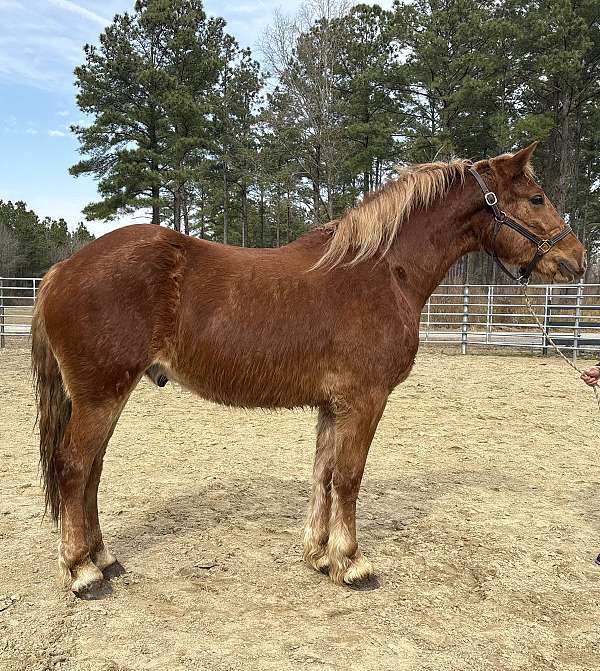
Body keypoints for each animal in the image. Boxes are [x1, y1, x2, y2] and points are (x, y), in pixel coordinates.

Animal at [31, 143, 585, 597]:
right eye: (536, 198)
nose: (577, 259)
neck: (381, 271)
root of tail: (61, 270)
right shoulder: (365, 399)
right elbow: (349, 477)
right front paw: (352, 563)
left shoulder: (331, 404)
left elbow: (323, 473)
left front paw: (319, 556)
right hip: (101, 395)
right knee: (74, 467)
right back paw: (81, 571)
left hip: (107, 396)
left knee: (92, 471)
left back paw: (103, 557)